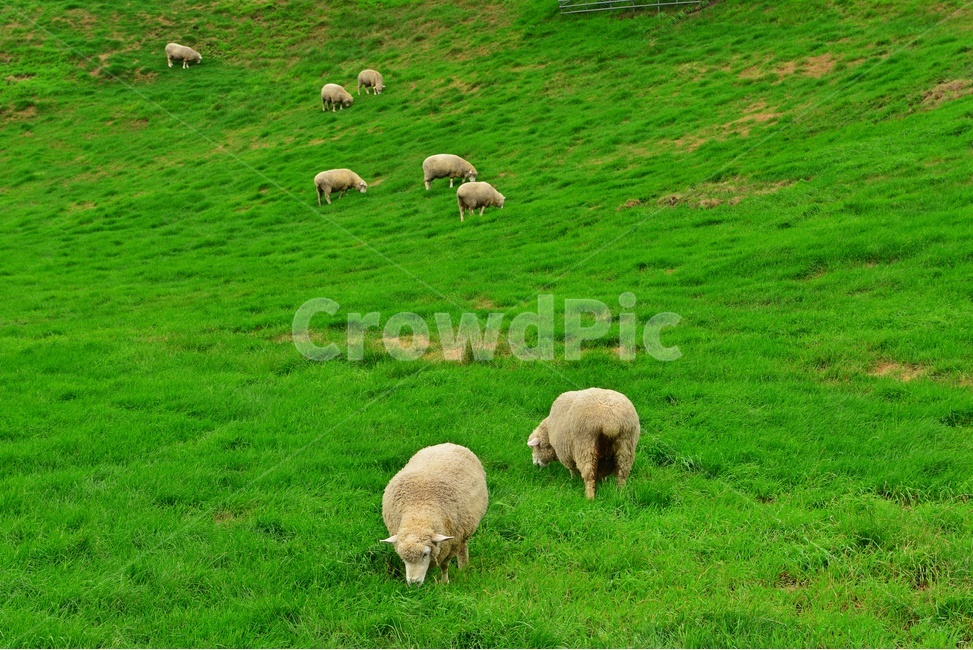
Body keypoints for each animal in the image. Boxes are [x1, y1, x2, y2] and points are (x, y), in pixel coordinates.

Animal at [381, 443, 488, 586]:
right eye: (402, 557)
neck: (419, 514)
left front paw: (445, 582)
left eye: (425, 554)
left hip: (464, 532)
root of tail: (448, 444)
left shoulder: (450, 545)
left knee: (463, 548)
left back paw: (463, 567)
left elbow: (444, 566)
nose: (413, 583)